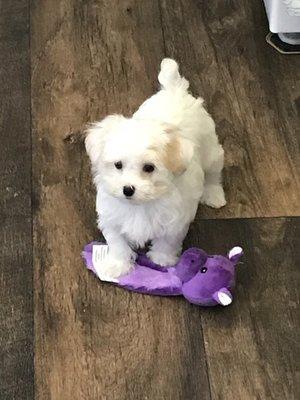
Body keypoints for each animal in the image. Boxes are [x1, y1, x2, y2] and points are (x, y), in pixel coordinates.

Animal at [84, 57, 225, 280]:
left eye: (149, 168)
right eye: (118, 165)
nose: (127, 189)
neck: (141, 204)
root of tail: (174, 90)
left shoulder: (175, 220)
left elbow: (167, 241)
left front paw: (162, 259)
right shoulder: (112, 217)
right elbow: (117, 243)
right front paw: (117, 265)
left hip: (210, 148)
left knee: (213, 170)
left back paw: (213, 193)